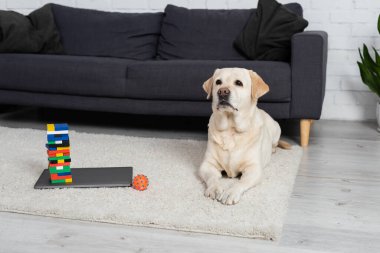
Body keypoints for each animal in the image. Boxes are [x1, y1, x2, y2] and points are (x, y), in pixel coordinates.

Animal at [199, 67, 288, 206]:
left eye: (238, 83)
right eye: (218, 82)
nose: (222, 91)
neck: (231, 129)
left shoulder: (254, 169)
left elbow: (241, 182)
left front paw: (230, 192)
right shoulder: (207, 165)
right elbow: (212, 178)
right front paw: (215, 188)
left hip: (276, 128)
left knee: (275, 143)